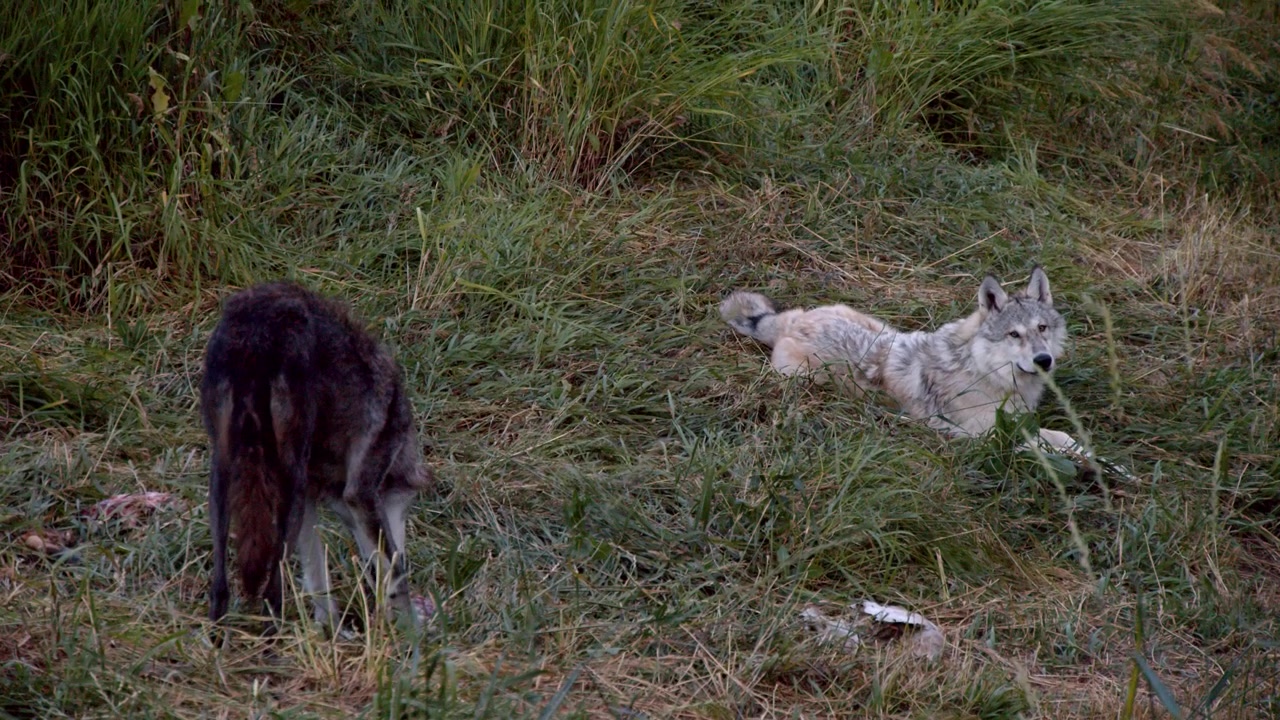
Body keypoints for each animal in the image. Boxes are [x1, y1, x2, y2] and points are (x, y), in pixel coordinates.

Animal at [201, 281, 433, 634]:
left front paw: (331, 630)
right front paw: (414, 632)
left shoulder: (321, 500)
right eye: (404, 510)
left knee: (220, 589)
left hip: (223, 477)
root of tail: (258, 330)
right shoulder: (360, 493)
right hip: (289, 486)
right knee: (272, 591)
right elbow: (393, 574)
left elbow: (316, 572)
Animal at [720, 267, 1082, 453]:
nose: (1044, 360)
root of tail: (793, 322)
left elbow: (1059, 436)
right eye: (1013, 335)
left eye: (1041, 328)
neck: (982, 370)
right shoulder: (990, 434)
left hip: (883, 327)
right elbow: (1049, 441)